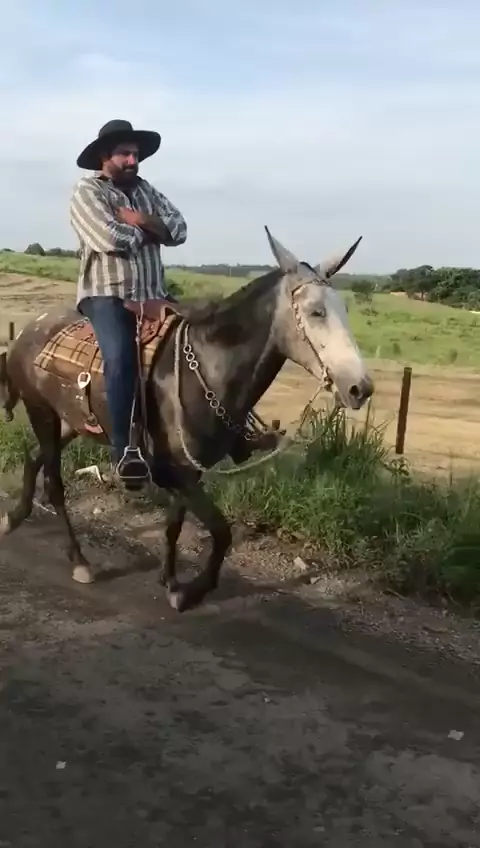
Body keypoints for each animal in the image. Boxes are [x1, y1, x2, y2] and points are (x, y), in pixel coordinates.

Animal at [0, 228, 374, 612]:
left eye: (344, 309)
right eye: (316, 312)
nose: (360, 388)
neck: (207, 369)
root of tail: (27, 332)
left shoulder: (190, 470)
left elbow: (174, 525)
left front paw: (171, 580)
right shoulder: (172, 471)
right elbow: (221, 531)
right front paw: (192, 592)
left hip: (68, 421)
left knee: (33, 458)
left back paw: (13, 517)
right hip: (41, 412)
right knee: (54, 483)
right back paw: (78, 560)